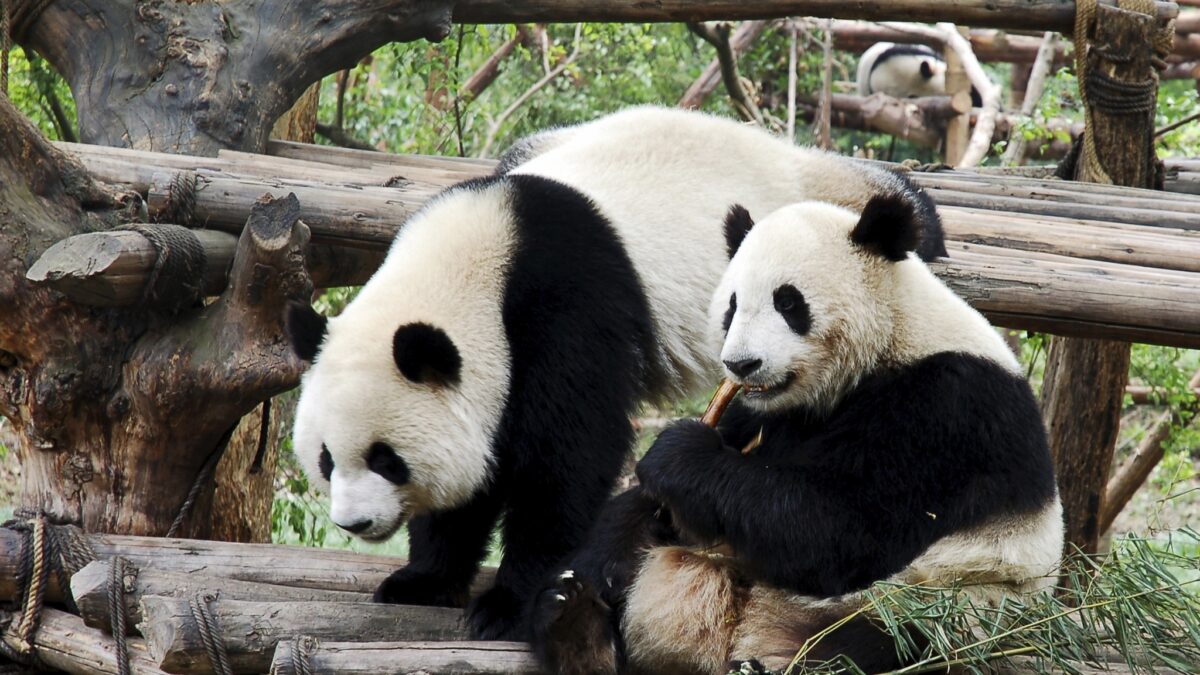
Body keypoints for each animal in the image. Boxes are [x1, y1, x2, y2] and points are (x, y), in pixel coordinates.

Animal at [284, 106, 948, 640]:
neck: (477, 263)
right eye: (326, 459)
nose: (353, 522)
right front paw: (423, 581)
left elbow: (567, 457)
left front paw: (506, 604)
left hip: (824, 215)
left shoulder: (566, 309)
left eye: (386, 459)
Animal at [531, 194, 1062, 674]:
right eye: (732, 306)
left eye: (788, 303)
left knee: (888, 640)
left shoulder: (947, 409)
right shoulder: (758, 413)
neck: (890, 339)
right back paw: (577, 629)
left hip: (956, 602)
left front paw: (678, 452)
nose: (741, 364)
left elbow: (839, 527)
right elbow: (650, 509)